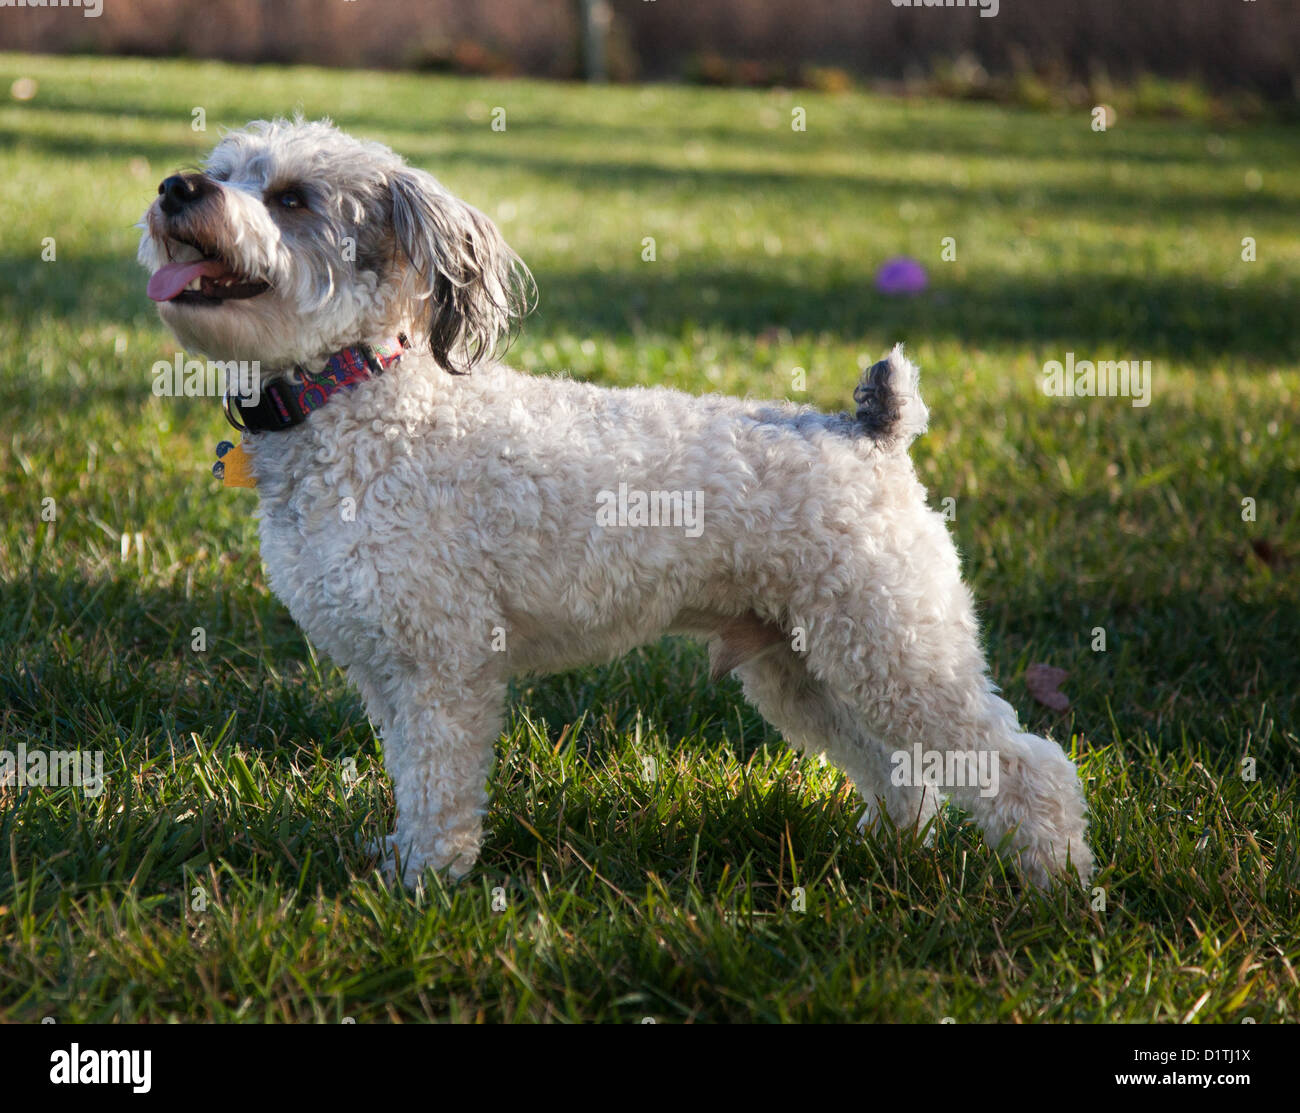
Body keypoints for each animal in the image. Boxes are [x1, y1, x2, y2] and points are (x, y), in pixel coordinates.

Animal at [137, 117, 1092, 889]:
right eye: (224, 169)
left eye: (293, 197)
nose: (176, 186)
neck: (361, 398)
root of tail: (873, 434)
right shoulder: (385, 667)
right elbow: (409, 774)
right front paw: (399, 859)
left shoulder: (443, 663)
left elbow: (440, 780)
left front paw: (425, 881)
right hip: (806, 660)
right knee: (900, 768)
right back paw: (888, 846)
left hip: (895, 644)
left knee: (1024, 763)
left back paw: (1062, 885)